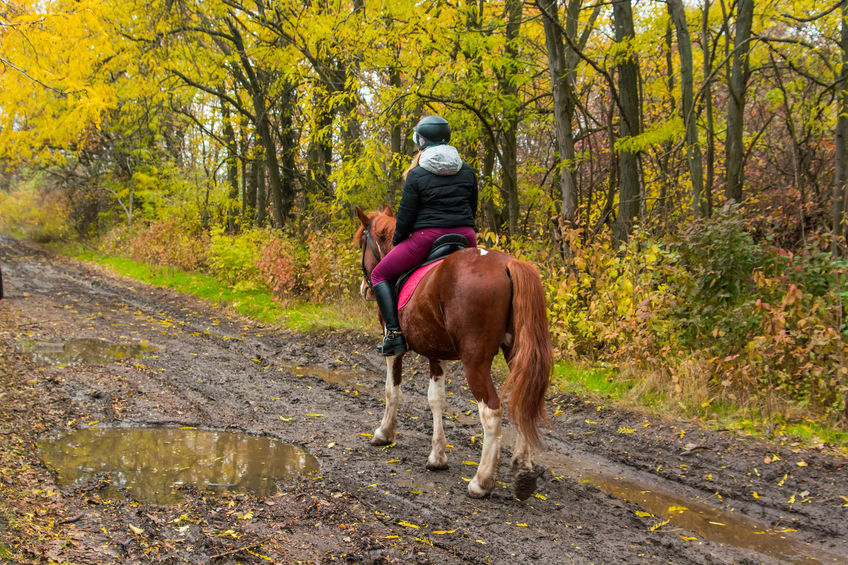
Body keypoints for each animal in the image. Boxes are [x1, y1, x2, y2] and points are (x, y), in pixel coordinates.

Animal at [354, 206, 552, 498]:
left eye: (361, 244)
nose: (365, 289)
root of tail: (508, 265)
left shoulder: (394, 346)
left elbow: (392, 391)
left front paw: (384, 433)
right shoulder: (436, 352)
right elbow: (436, 399)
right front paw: (437, 457)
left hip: (475, 361)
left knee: (491, 412)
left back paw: (481, 481)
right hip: (517, 353)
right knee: (523, 402)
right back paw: (523, 470)